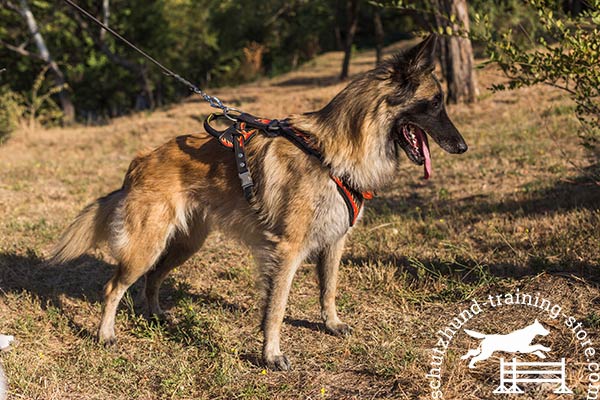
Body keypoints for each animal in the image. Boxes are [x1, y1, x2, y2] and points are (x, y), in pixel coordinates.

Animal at [49, 36, 466, 370]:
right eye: (435, 103)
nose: (462, 147)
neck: (334, 150)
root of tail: (140, 161)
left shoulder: (334, 241)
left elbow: (328, 289)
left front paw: (330, 324)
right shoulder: (287, 251)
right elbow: (276, 308)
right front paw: (271, 355)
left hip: (184, 244)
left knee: (152, 278)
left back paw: (156, 316)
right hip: (146, 246)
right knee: (113, 287)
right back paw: (106, 335)